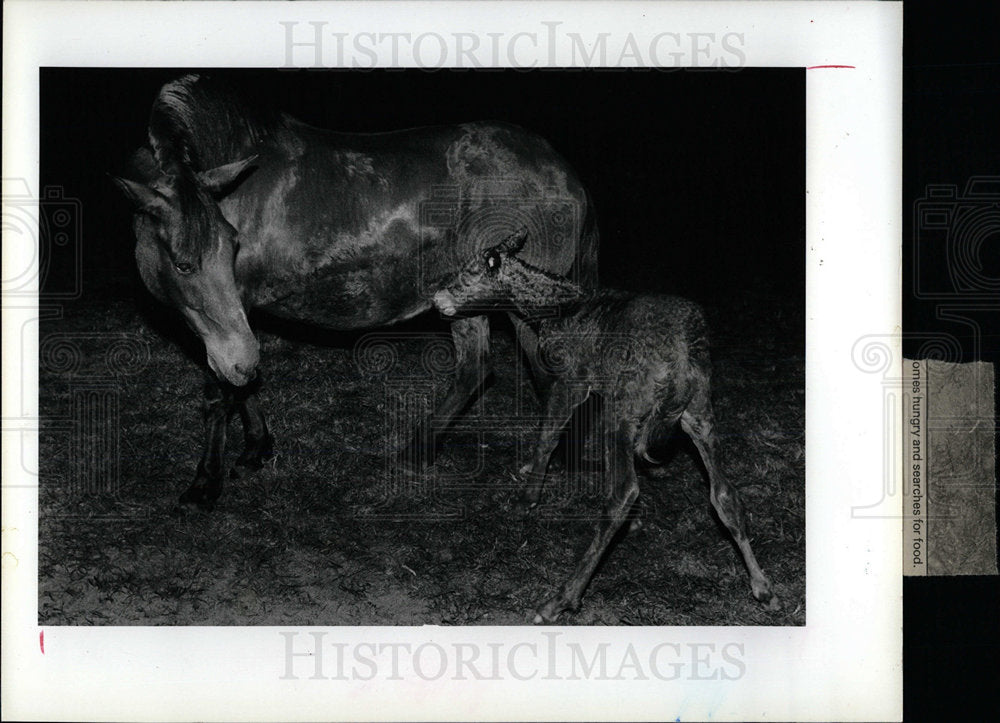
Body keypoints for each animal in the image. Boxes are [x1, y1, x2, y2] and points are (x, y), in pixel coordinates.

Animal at [434, 230, 776, 624]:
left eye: (471, 270)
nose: (437, 297)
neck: (555, 309)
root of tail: (679, 360)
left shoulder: (571, 378)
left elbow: (547, 437)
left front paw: (526, 499)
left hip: (626, 406)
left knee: (623, 491)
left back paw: (560, 598)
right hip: (699, 408)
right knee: (723, 492)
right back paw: (764, 588)